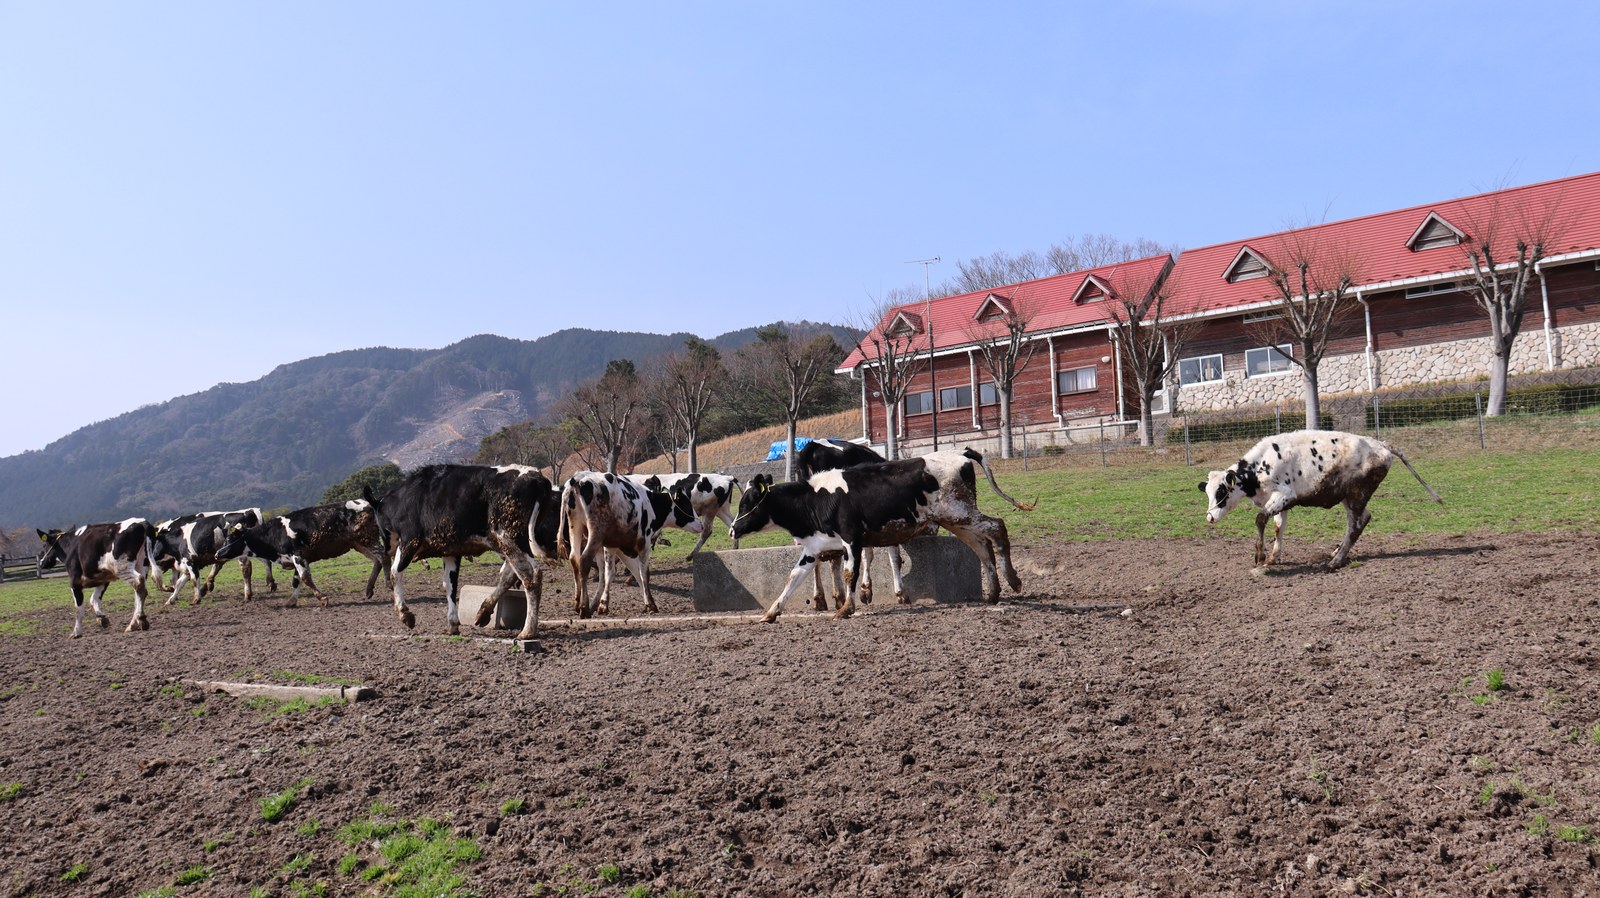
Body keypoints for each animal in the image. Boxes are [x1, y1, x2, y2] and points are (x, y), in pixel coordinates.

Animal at [215, 499, 390, 607]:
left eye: (230, 538)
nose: (217, 554)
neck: (274, 534)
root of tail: (366, 503)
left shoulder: (298, 555)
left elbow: (305, 578)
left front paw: (322, 598)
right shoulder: (298, 559)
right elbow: (296, 581)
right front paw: (291, 601)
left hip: (367, 539)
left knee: (383, 557)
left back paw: (388, 584)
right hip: (358, 543)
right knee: (377, 560)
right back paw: (369, 590)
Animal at [363, 464, 560, 641]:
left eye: (378, 522)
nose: (387, 548)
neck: (405, 499)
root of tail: (536, 477)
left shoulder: (409, 542)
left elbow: (395, 573)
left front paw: (405, 614)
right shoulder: (450, 551)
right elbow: (450, 584)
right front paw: (452, 624)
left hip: (509, 539)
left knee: (530, 576)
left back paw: (528, 631)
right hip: (511, 543)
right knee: (508, 574)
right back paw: (484, 611)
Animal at [559, 472, 702, 618]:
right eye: (686, 504)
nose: (700, 525)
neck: (650, 503)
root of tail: (578, 479)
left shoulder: (613, 546)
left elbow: (613, 573)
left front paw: (603, 604)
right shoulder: (644, 544)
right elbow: (644, 574)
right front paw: (650, 604)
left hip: (575, 527)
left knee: (574, 559)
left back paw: (577, 604)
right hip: (595, 534)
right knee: (585, 560)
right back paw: (584, 607)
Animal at [731, 448, 1031, 622]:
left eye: (746, 503)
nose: (733, 528)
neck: (817, 499)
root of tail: (963, 454)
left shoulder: (852, 539)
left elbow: (850, 573)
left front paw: (846, 608)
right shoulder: (814, 548)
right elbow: (794, 577)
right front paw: (771, 612)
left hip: (960, 512)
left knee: (996, 527)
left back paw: (1013, 581)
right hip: (956, 519)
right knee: (980, 545)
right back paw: (992, 592)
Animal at [1200, 430, 1443, 569]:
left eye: (1221, 492)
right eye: (1208, 493)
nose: (1210, 517)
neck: (1261, 465)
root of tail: (1382, 445)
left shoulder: (1284, 495)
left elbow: (1260, 519)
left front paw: (1259, 556)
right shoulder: (1279, 502)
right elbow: (1279, 527)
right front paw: (1273, 557)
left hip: (1357, 495)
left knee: (1355, 526)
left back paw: (1336, 561)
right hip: (1349, 497)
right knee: (1364, 518)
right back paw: (1336, 552)